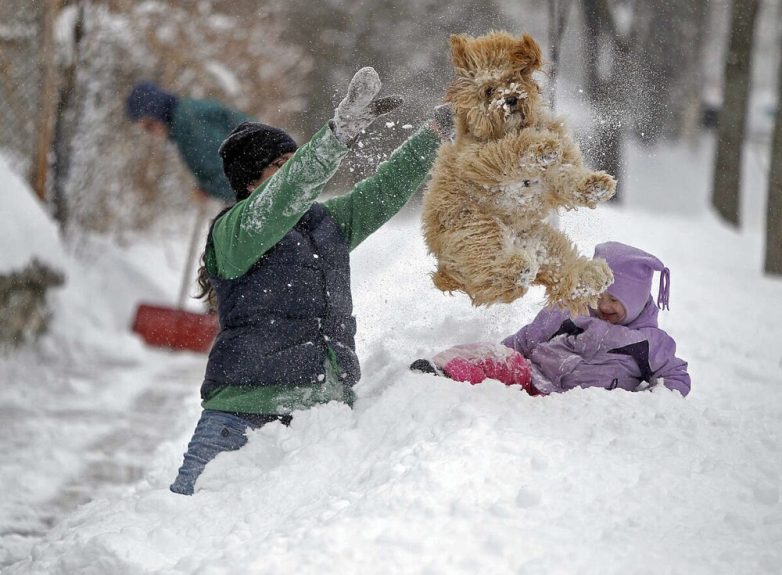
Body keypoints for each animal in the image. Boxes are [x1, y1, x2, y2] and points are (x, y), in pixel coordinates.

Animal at [422, 31, 620, 312]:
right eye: (489, 89)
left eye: (512, 79)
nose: (511, 99)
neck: (511, 128)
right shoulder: (477, 157)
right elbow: (510, 150)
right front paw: (541, 147)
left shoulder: (553, 174)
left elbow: (566, 175)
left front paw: (595, 186)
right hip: (476, 232)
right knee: (490, 272)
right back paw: (516, 269)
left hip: (543, 243)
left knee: (563, 268)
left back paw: (591, 276)